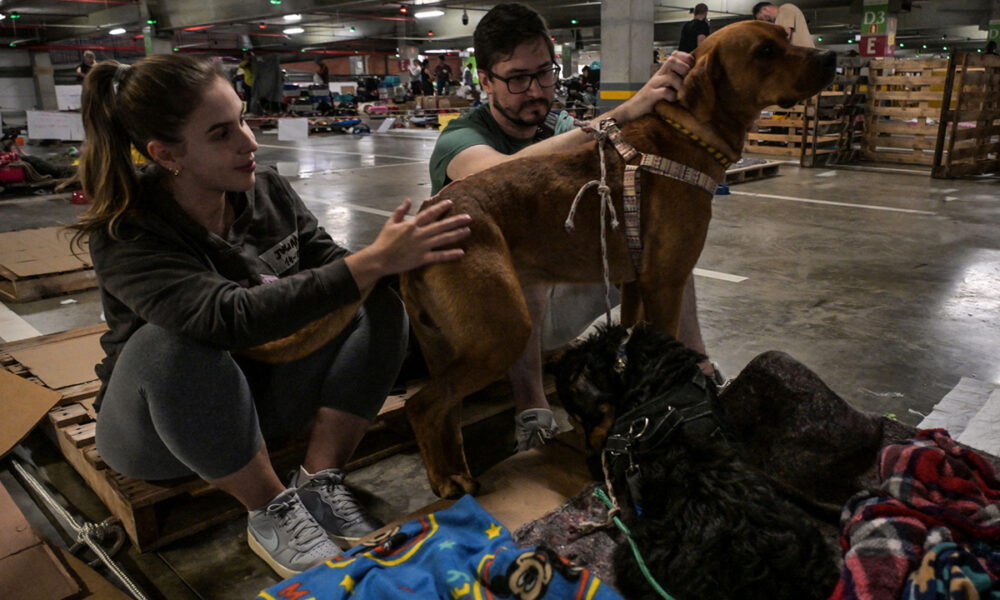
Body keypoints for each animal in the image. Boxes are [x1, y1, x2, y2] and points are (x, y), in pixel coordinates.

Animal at [398, 19, 836, 496]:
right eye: (764, 52)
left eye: (786, 36)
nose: (831, 57)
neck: (687, 135)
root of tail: (423, 222)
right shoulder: (666, 283)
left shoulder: (634, 283)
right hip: (503, 330)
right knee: (424, 406)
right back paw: (446, 480)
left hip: (449, 344)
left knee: (447, 414)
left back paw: (453, 472)